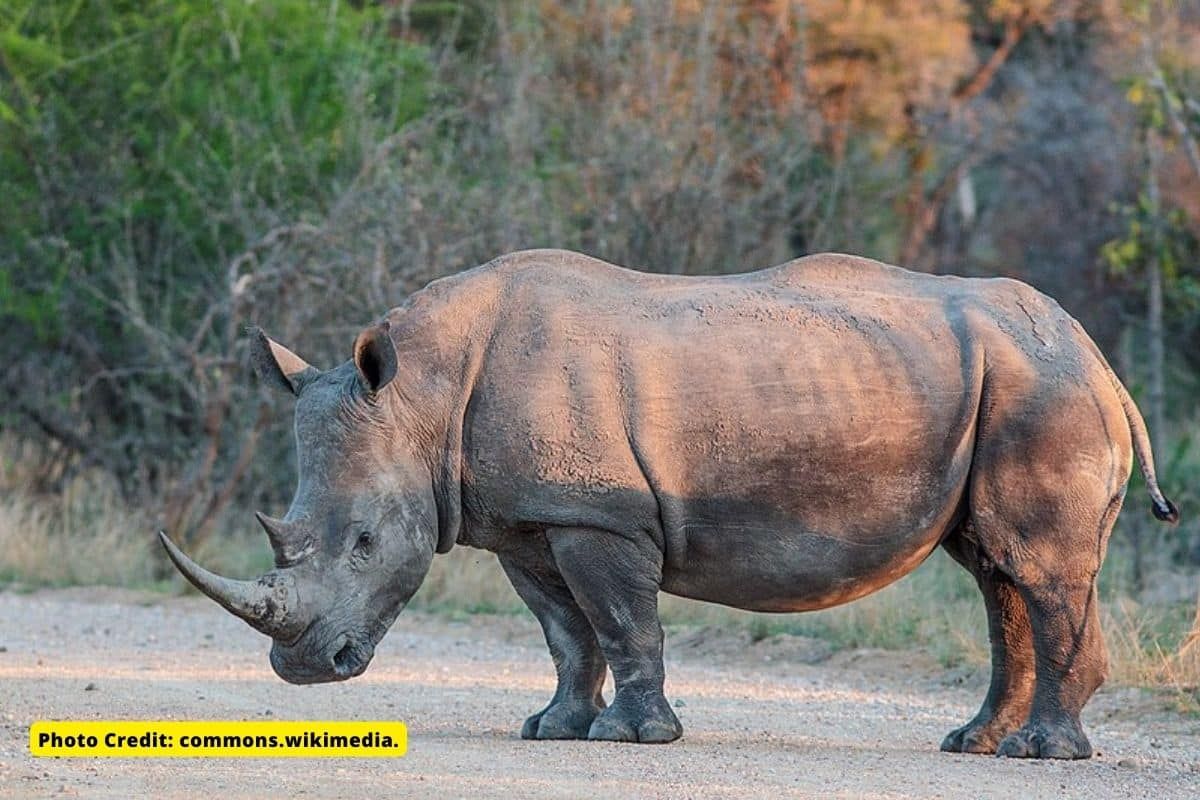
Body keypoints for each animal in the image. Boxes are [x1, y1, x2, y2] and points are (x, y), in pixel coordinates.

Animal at [160, 249, 1178, 759]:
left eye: (367, 542)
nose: (306, 670)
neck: (422, 398)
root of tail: (1096, 355)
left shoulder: (598, 516)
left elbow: (620, 621)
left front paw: (634, 738)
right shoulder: (528, 522)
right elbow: (565, 634)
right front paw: (554, 730)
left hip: (1042, 392)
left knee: (1035, 570)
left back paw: (1042, 754)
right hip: (1008, 385)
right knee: (995, 570)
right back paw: (970, 744)